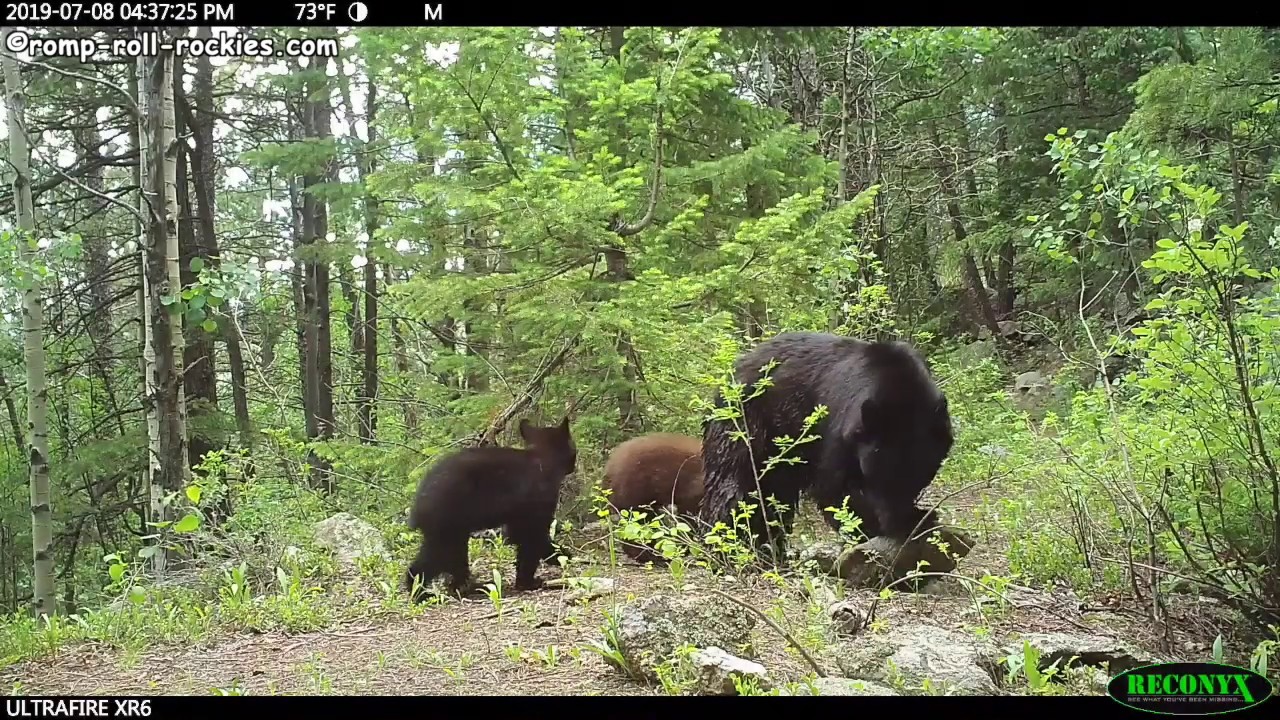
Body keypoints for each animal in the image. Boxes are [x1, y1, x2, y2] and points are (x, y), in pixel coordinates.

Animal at [405, 416, 576, 598]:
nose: (573, 466)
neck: (543, 459)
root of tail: (417, 503)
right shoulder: (538, 503)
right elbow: (533, 539)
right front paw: (534, 577)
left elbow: (517, 534)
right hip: (446, 525)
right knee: (436, 558)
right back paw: (422, 593)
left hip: (450, 530)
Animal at [698, 331, 953, 561]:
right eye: (879, 476)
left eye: (917, 479)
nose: (894, 523)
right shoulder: (837, 429)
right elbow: (835, 489)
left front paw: (918, 516)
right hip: (746, 423)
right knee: (736, 483)